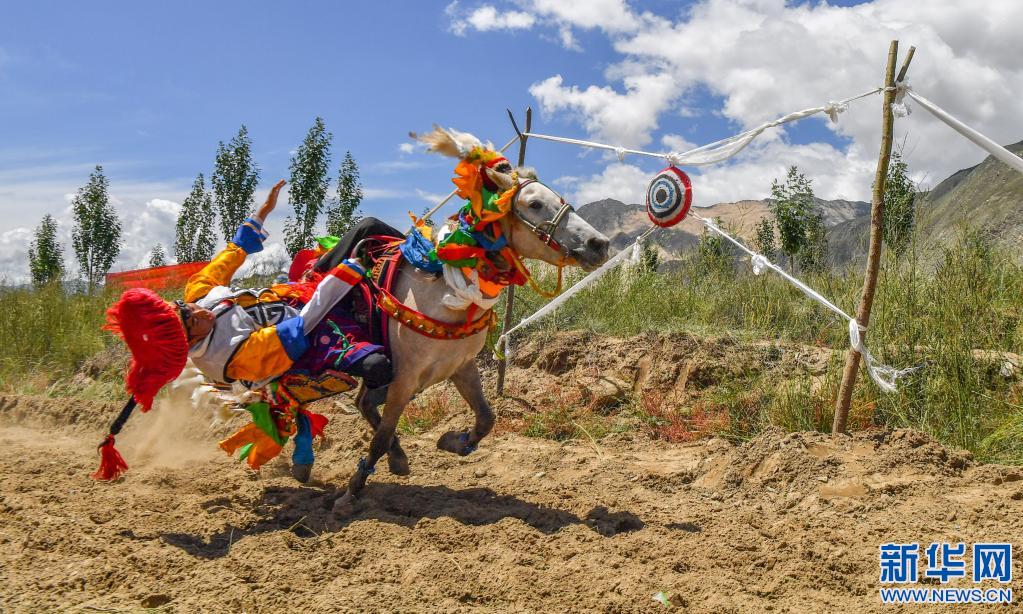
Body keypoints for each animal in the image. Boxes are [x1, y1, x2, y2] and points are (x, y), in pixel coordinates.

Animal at [333, 127, 611, 514]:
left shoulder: (462, 367)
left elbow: (486, 417)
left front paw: (455, 441)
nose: (600, 244)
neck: (444, 292)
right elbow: (381, 436)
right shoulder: (404, 378)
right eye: (535, 204)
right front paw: (351, 491)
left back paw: (399, 458)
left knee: (363, 403)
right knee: (368, 410)